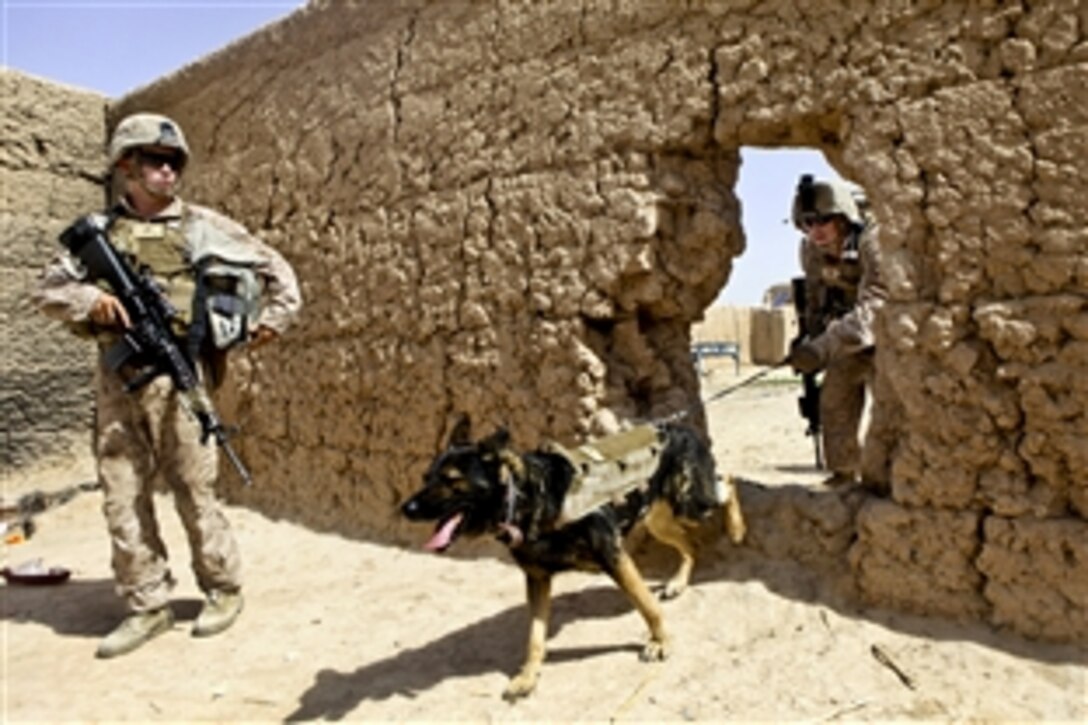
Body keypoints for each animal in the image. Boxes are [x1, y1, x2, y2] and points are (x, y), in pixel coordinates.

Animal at [400, 415, 748, 696]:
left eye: (451, 480)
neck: (529, 498)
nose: (406, 509)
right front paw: (528, 675)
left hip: (690, 501)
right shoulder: (537, 579)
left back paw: (736, 529)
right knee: (691, 544)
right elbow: (535, 637)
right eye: (426, 478)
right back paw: (678, 582)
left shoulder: (614, 556)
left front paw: (660, 641)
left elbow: (646, 606)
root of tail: (676, 426)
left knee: (727, 482)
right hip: (658, 518)